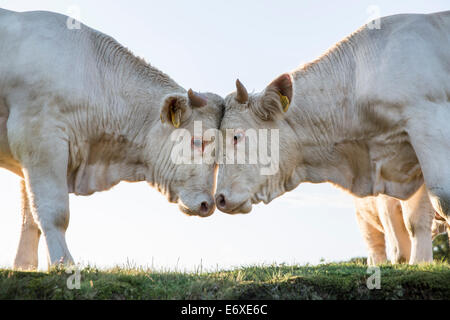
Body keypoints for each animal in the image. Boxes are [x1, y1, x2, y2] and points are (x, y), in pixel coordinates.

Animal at [0, 10, 225, 268]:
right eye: (198, 141)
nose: (207, 204)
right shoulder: (38, 137)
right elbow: (52, 211)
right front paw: (63, 263)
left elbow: (29, 217)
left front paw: (25, 266)